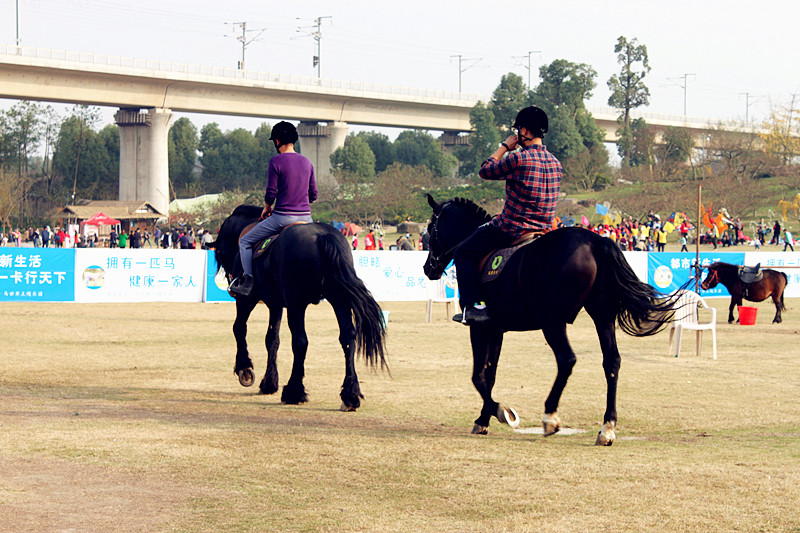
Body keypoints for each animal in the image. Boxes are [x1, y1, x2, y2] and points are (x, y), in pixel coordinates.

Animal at [211, 206, 386, 410]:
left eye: (219, 253)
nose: (229, 276)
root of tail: (322, 236)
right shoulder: (276, 304)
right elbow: (272, 339)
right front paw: (269, 382)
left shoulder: (248, 300)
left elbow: (239, 329)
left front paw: (245, 368)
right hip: (338, 299)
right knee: (348, 337)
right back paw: (350, 395)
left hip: (296, 304)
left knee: (300, 341)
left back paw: (294, 391)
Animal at [422, 195, 680, 444]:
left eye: (430, 228)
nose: (427, 268)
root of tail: (596, 242)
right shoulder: (496, 329)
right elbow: (490, 375)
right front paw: (484, 419)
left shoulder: (479, 328)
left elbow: (478, 377)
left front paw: (502, 412)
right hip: (602, 317)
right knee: (612, 362)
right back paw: (607, 428)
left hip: (552, 321)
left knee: (566, 360)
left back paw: (550, 417)